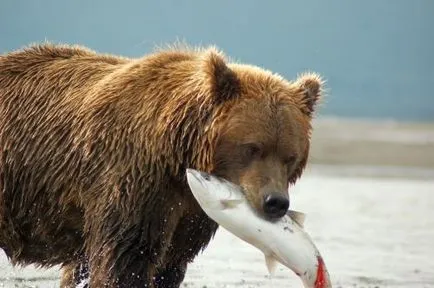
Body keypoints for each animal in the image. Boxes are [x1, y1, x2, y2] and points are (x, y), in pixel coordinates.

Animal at [0, 43, 322, 288]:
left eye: (290, 156)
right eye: (253, 148)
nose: (275, 202)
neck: (177, 156)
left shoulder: (188, 215)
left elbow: (169, 263)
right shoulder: (133, 182)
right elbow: (126, 260)